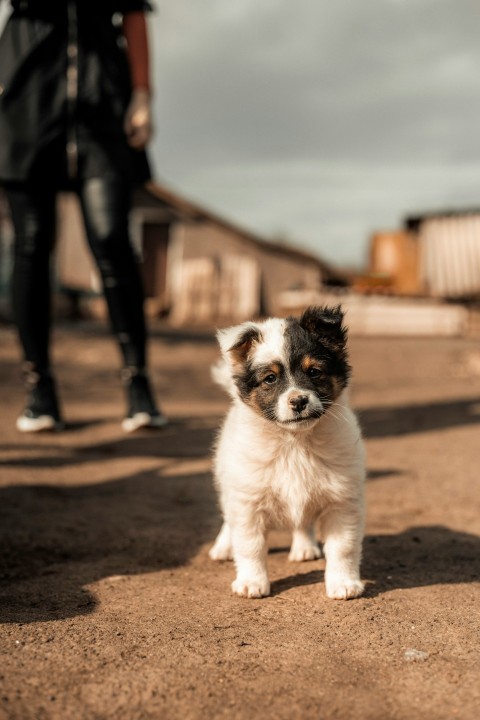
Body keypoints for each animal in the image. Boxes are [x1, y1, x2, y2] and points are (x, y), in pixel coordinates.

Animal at [208, 306, 366, 600]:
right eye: (270, 378)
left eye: (314, 372)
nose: (299, 401)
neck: (294, 442)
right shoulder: (248, 500)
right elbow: (249, 545)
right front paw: (251, 582)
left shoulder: (342, 500)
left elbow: (343, 547)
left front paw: (343, 583)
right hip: (228, 480)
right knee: (228, 518)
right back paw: (223, 547)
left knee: (302, 522)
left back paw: (304, 547)